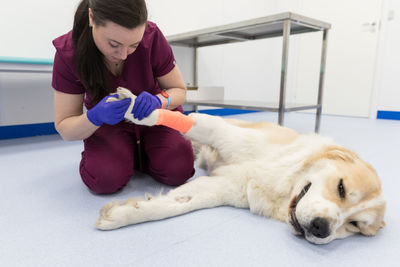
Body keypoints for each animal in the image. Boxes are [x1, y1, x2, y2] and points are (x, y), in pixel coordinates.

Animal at [95, 88, 386, 245]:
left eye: (355, 225)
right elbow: (172, 118)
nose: (321, 228)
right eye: (341, 188)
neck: (282, 182)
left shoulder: (220, 187)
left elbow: (173, 205)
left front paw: (123, 214)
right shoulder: (220, 130)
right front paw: (134, 106)